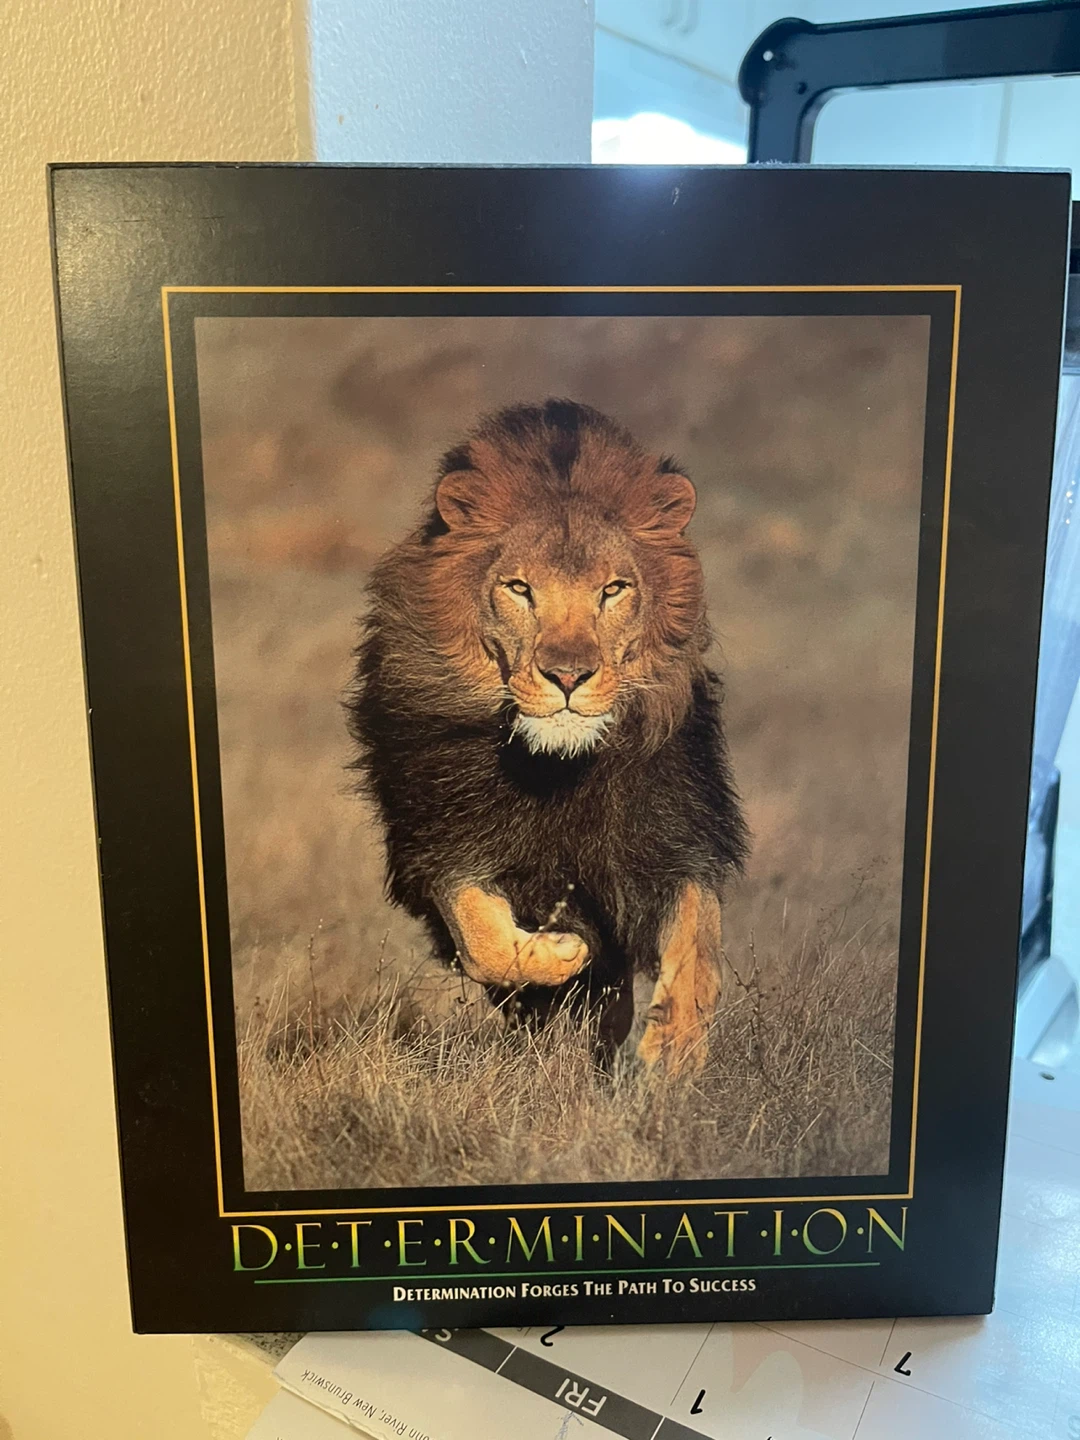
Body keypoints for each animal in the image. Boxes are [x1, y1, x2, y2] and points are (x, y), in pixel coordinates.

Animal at [348, 399, 747, 1072]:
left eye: (613, 589)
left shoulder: (672, 839)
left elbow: (697, 939)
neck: (557, 769)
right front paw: (560, 950)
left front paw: (671, 1055)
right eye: (519, 588)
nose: (566, 675)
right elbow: (482, 937)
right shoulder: (441, 844)